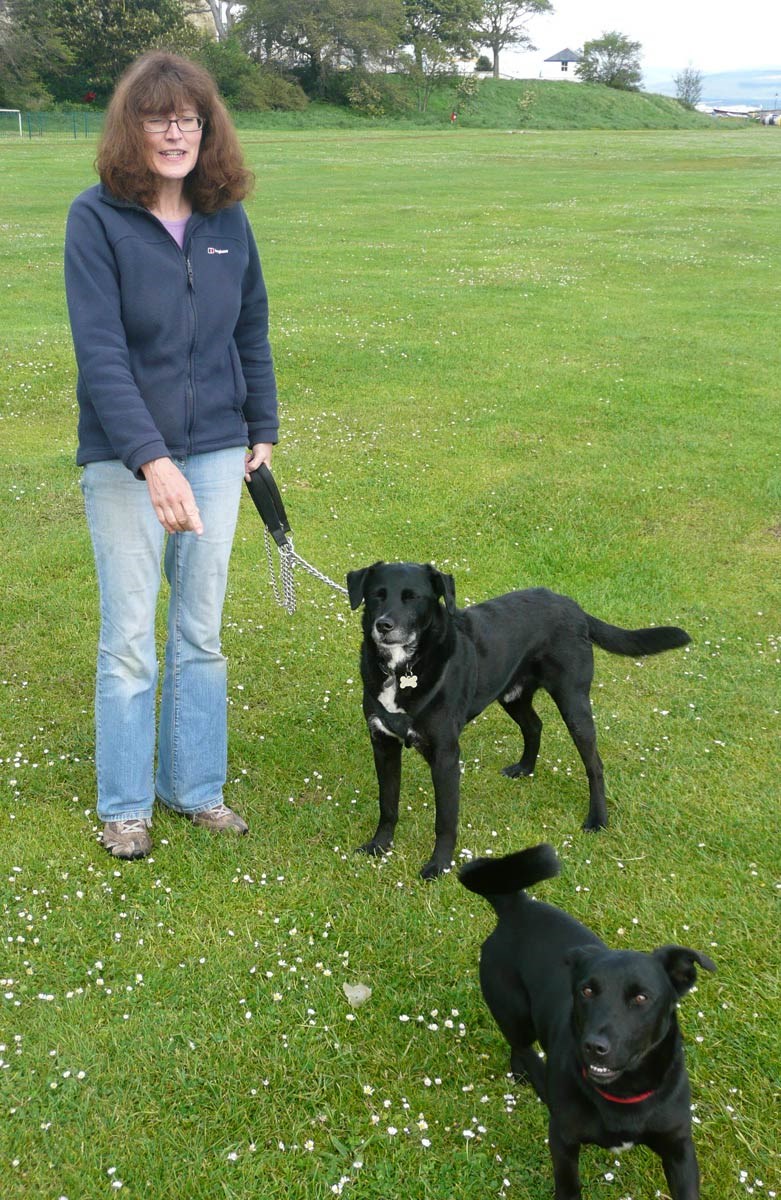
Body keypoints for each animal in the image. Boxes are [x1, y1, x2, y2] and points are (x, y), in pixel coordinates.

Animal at [347, 556, 691, 878]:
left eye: (412, 597)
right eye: (377, 595)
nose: (383, 625)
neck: (404, 668)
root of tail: (573, 606)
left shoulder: (445, 754)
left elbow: (445, 819)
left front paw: (439, 865)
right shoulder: (383, 743)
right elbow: (388, 804)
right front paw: (379, 845)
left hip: (574, 702)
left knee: (594, 764)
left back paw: (597, 819)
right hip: (512, 695)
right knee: (535, 725)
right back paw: (525, 768)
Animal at [460, 844, 719, 1200]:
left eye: (641, 998)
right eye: (587, 990)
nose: (594, 1046)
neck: (624, 1093)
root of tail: (517, 906)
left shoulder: (679, 1149)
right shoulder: (563, 1141)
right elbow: (568, 1185)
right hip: (514, 1013)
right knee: (522, 1048)